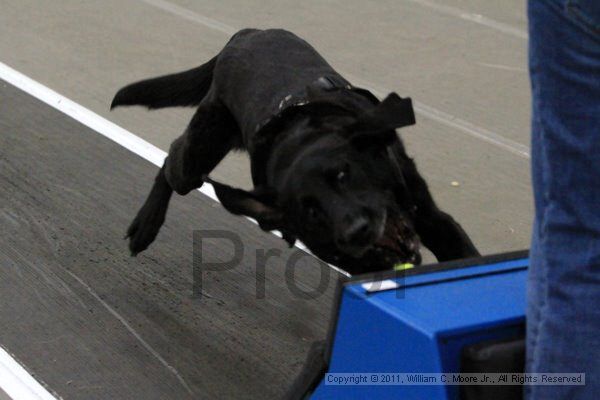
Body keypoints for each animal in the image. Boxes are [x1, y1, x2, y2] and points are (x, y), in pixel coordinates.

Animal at [111, 27, 478, 272]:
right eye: (312, 212)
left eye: (344, 173)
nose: (357, 230)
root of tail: (245, 33)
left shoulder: (433, 219)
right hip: (201, 151)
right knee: (172, 160)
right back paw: (144, 227)